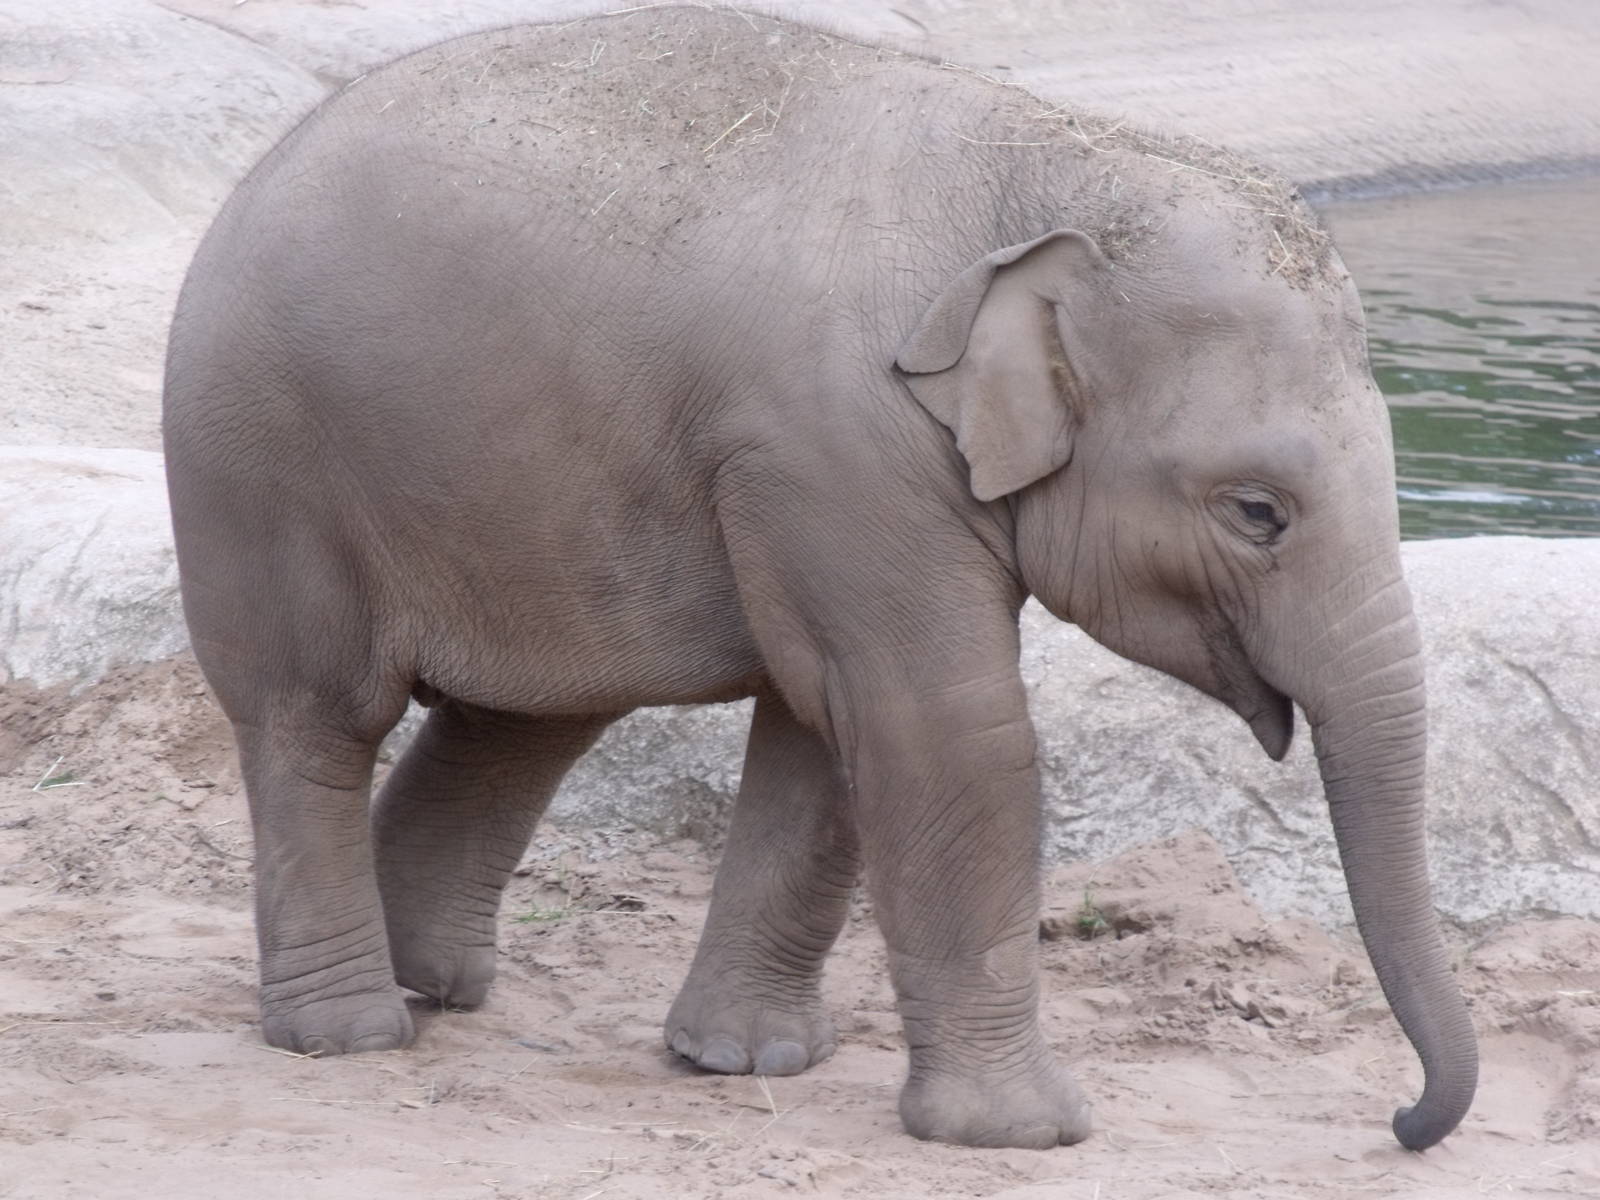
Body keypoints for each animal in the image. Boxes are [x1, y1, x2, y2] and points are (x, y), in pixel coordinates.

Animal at [162, 6, 1477, 1151]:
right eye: (1257, 513)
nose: (1402, 1124)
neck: (1053, 164)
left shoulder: (836, 480)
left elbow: (826, 730)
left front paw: (748, 1062)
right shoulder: (833, 442)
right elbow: (937, 725)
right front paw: (1026, 1134)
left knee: (522, 719)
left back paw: (433, 984)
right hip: (263, 471)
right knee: (316, 720)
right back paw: (348, 1032)